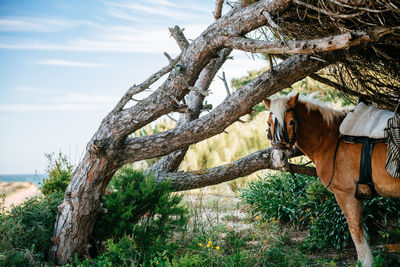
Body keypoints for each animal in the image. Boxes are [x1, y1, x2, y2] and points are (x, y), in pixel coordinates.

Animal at [262, 92, 400, 267]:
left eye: (292, 122)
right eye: (269, 123)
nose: (278, 157)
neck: (331, 139)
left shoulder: (345, 195)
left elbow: (355, 230)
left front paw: (366, 261)